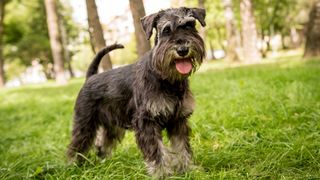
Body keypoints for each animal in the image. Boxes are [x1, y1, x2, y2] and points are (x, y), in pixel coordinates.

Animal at [67, 6, 206, 177]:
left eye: (189, 25)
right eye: (166, 30)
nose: (182, 49)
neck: (167, 78)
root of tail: (90, 77)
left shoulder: (178, 120)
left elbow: (181, 147)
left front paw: (188, 169)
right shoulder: (146, 121)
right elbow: (156, 151)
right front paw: (162, 174)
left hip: (112, 126)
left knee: (102, 144)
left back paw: (105, 162)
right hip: (85, 122)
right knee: (77, 144)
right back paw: (73, 166)